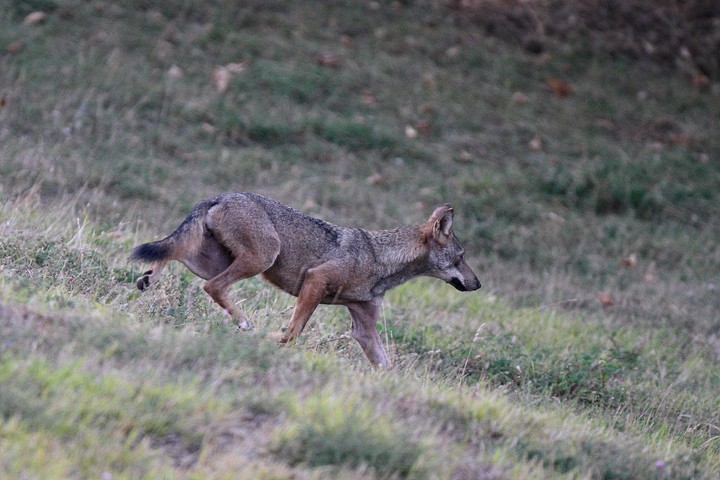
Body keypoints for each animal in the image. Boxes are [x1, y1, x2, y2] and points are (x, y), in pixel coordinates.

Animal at [132, 193, 480, 366]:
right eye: (462, 257)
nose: (478, 284)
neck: (380, 259)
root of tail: (224, 195)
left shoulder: (363, 328)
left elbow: (386, 365)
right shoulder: (316, 280)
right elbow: (293, 332)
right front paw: (268, 339)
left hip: (212, 262)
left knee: (171, 253)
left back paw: (147, 281)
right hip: (258, 259)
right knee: (210, 285)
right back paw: (244, 323)